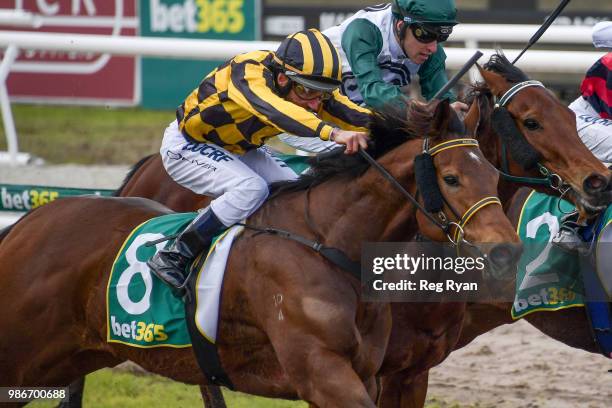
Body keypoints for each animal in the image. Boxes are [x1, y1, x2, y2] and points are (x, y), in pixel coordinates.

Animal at [0, 99, 520, 408]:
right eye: (451, 178)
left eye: (493, 174)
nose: (507, 251)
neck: (328, 244)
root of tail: (27, 223)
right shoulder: (323, 372)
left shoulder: (367, 374)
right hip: (21, 356)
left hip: (65, 359)